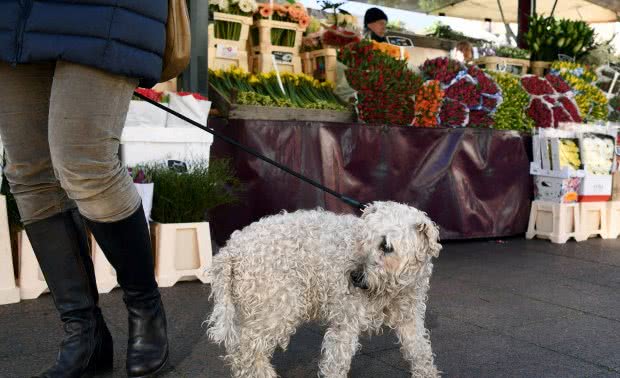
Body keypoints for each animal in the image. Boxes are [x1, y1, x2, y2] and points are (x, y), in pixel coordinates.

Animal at [208, 201, 440, 378]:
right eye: (363, 239)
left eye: (386, 246)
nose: (354, 276)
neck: (392, 289)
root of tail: (231, 250)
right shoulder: (345, 322)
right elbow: (337, 362)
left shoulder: (409, 317)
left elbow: (420, 351)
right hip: (275, 310)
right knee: (246, 353)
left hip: (250, 311)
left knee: (239, 351)